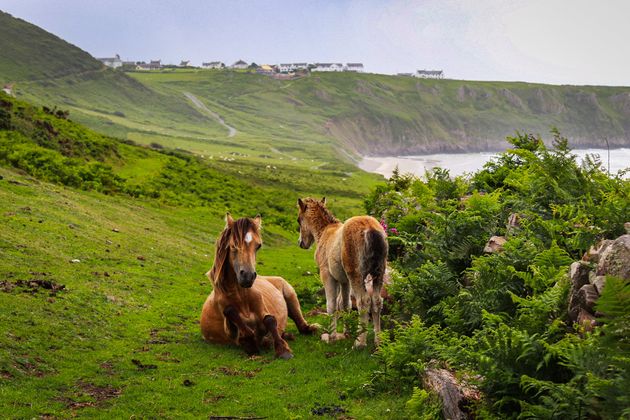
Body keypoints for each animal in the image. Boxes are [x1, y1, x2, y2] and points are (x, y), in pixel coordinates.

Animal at [201, 213, 320, 358]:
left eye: (258, 246)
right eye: (233, 246)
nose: (248, 276)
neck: (241, 297)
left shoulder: (264, 311)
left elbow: (270, 320)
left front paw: (283, 349)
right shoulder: (229, 328)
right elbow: (231, 313)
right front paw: (250, 342)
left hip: (291, 296)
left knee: (300, 323)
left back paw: (309, 329)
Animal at [298, 197, 390, 348]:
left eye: (299, 220)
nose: (301, 243)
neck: (324, 232)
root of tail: (370, 228)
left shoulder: (327, 275)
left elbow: (332, 305)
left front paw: (332, 337)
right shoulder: (344, 281)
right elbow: (345, 305)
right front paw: (346, 333)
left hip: (356, 275)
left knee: (363, 301)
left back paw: (359, 343)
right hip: (379, 273)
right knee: (377, 301)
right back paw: (378, 341)